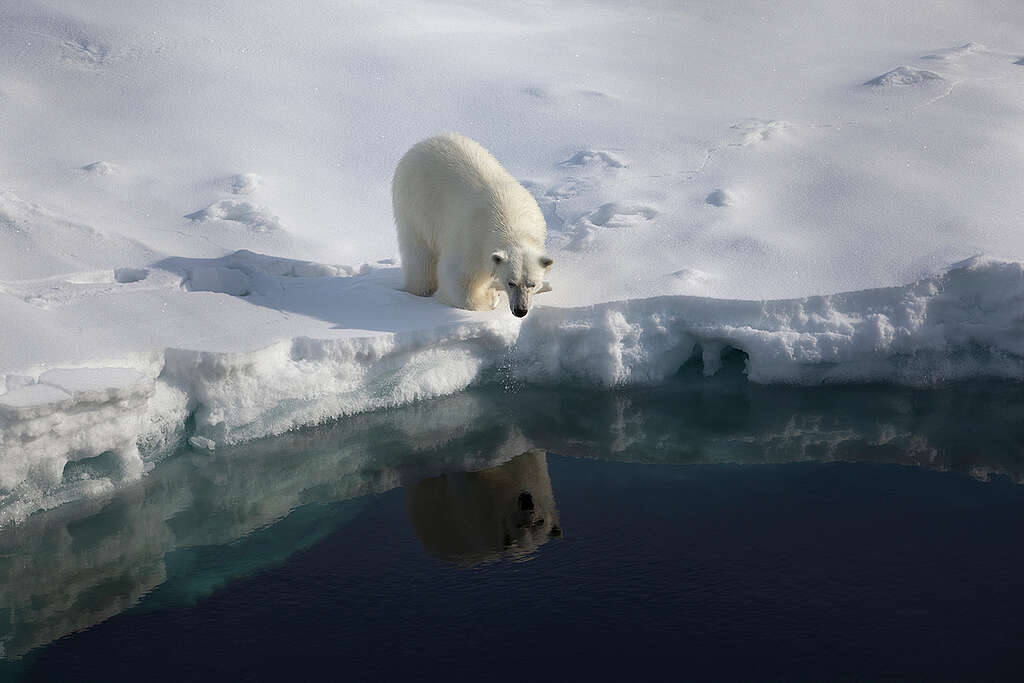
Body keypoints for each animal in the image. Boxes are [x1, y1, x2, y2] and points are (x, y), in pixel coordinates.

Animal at [392, 133, 553, 317]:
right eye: (511, 282)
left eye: (532, 284)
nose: (520, 310)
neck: (512, 224)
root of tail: (420, 144)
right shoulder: (471, 240)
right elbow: (457, 279)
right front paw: (491, 297)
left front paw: (544, 285)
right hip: (417, 205)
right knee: (420, 255)